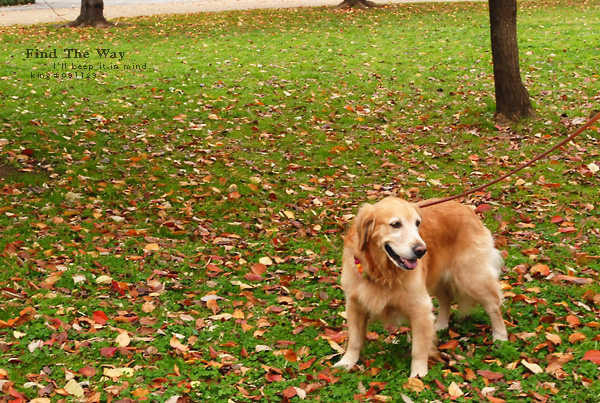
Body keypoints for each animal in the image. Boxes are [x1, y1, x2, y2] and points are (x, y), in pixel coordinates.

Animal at [332, 197, 506, 378]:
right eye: (395, 224)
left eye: (417, 223)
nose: (421, 251)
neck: (382, 271)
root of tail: (467, 209)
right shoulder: (354, 304)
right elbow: (354, 339)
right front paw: (347, 362)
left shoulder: (419, 307)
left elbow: (419, 348)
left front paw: (418, 374)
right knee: (447, 298)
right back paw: (440, 325)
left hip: (471, 276)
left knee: (493, 304)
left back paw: (500, 336)